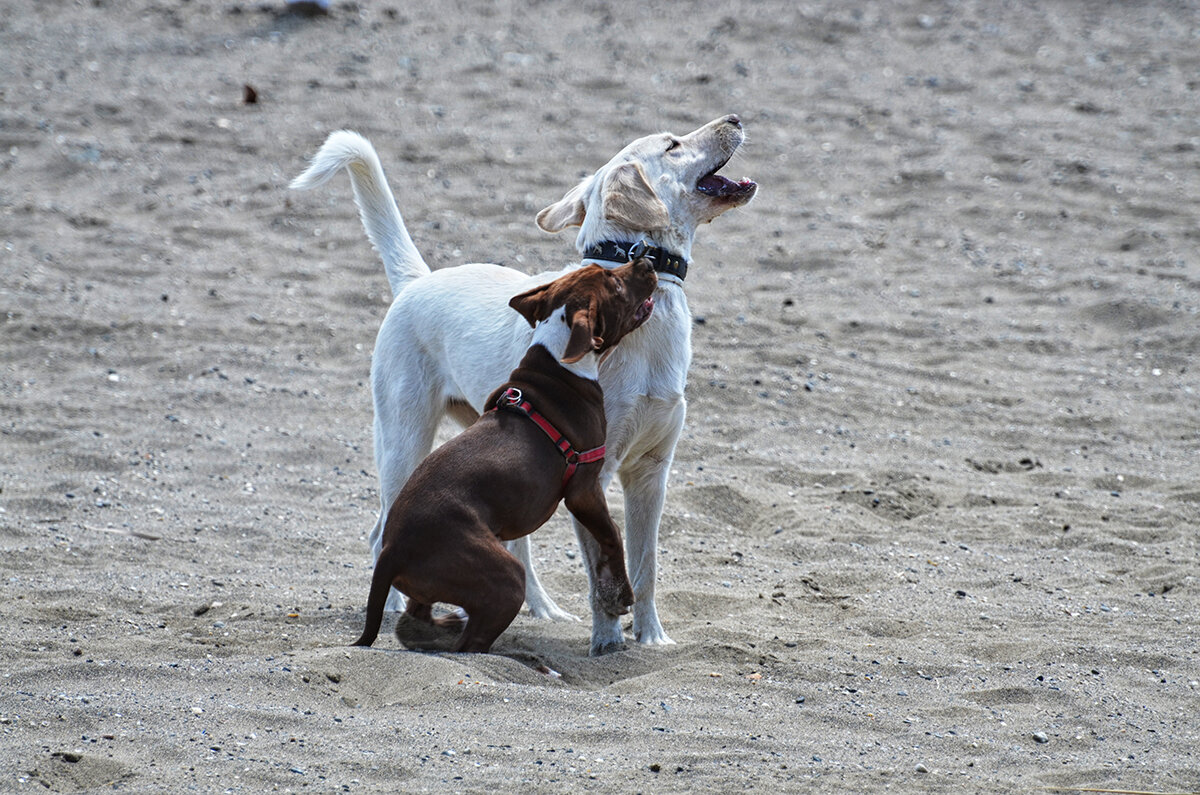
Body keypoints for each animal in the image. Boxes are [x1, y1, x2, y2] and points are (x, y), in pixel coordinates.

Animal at [350, 260, 662, 653]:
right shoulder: (585, 488)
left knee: (422, 619)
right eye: (616, 285)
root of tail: (393, 550)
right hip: (494, 561)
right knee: (471, 643)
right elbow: (612, 534)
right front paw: (619, 595)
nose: (647, 262)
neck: (558, 363)